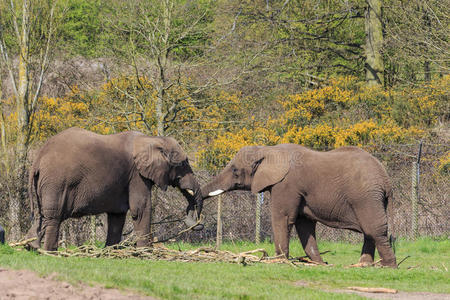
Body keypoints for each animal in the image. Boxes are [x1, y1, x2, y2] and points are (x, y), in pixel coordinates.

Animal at [26, 127, 204, 251]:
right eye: (183, 163)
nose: (199, 225)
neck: (152, 139)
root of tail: (39, 157)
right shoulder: (136, 176)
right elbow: (140, 209)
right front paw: (145, 252)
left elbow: (117, 216)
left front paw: (110, 251)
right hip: (56, 181)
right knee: (53, 216)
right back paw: (49, 251)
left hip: (44, 183)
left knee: (41, 215)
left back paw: (31, 248)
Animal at [202, 145, 396, 268]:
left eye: (235, 170)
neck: (269, 149)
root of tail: (386, 180)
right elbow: (304, 225)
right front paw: (318, 263)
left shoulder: (286, 184)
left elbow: (283, 218)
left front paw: (279, 261)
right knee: (369, 232)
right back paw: (364, 265)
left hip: (366, 197)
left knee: (374, 230)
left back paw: (388, 267)